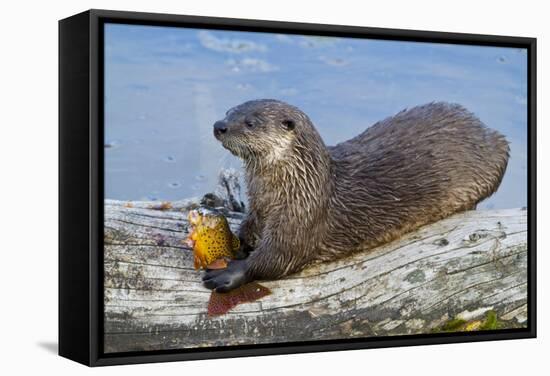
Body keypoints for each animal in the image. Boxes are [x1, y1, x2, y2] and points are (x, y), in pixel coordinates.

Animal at [204, 99, 512, 290]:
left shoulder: (303, 217)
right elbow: (248, 230)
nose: (219, 125)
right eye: (230, 111)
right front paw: (232, 243)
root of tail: (484, 127)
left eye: (250, 123)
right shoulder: (258, 207)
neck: (296, 184)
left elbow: (277, 257)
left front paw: (230, 272)